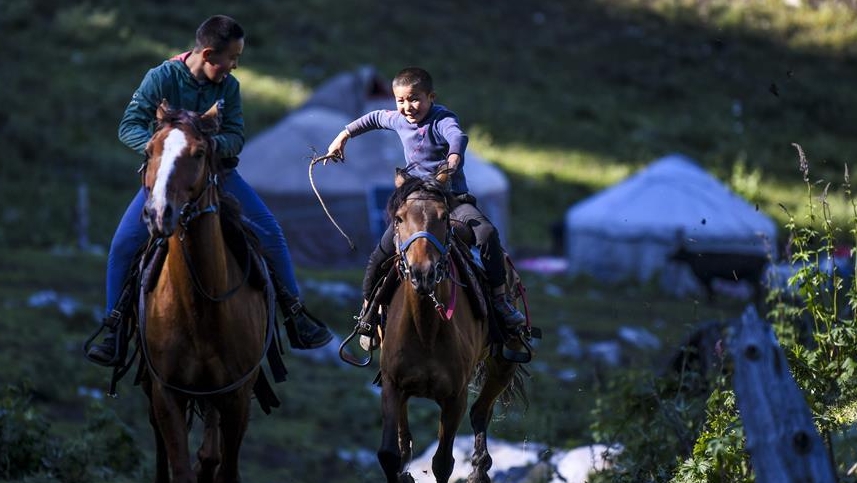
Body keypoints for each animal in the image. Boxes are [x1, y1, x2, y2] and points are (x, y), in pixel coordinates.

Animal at [138, 100, 271, 483]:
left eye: (199, 153)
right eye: (149, 151)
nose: (159, 213)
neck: (199, 308)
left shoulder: (237, 395)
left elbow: (225, 467)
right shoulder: (166, 393)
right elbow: (180, 468)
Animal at [376, 168, 526, 483]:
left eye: (444, 217)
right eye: (399, 218)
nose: (423, 272)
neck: (425, 330)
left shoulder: (454, 398)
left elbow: (442, 463)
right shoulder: (392, 386)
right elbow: (388, 454)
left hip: (504, 363)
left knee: (481, 412)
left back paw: (479, 469)